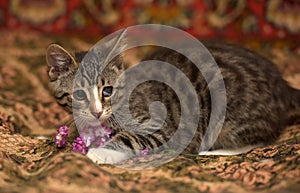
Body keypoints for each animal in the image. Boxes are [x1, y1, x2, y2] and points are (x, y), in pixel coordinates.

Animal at [45, 35, 300, 164]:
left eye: (107, 91)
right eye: (79, 94)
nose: (97, 112)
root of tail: (282, 86)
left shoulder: (163, 126)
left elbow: (131, 137)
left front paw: (100, 152)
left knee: (261, 139)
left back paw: (212, 151)